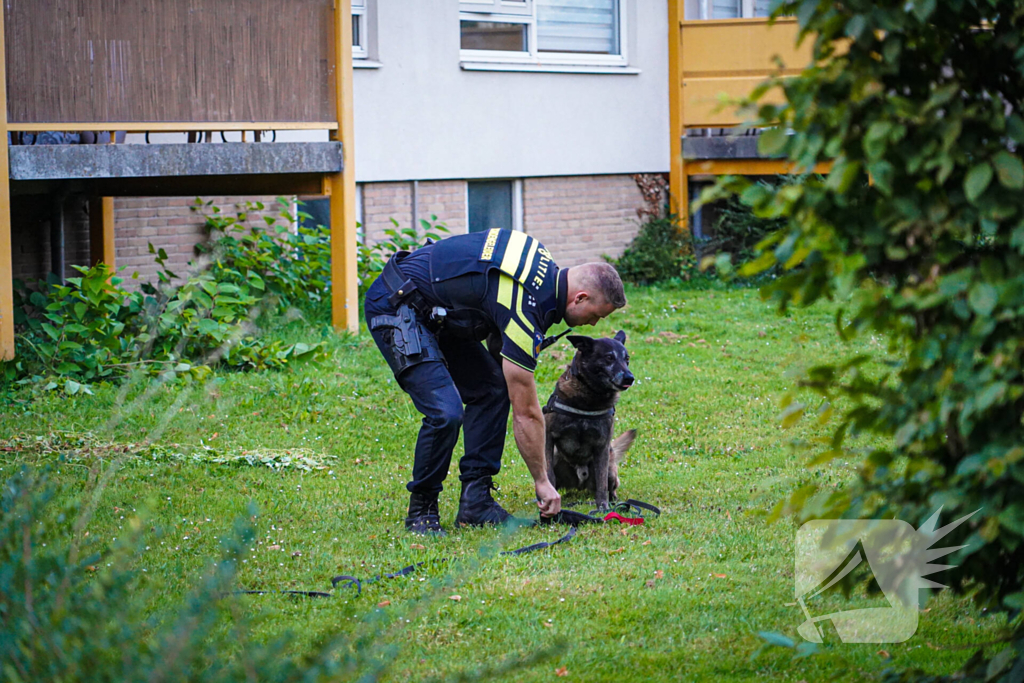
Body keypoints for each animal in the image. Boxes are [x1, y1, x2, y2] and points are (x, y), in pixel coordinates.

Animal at [540, 331, 634, 507]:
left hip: (610, 467)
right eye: (609, 357)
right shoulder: (548, 439)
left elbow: (602, 483)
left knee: (609, 485)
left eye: (627, 359)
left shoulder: (602, 446)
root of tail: (580, 483)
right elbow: (548, 474)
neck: (589, 398)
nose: (629, 378)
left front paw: (603, 507)